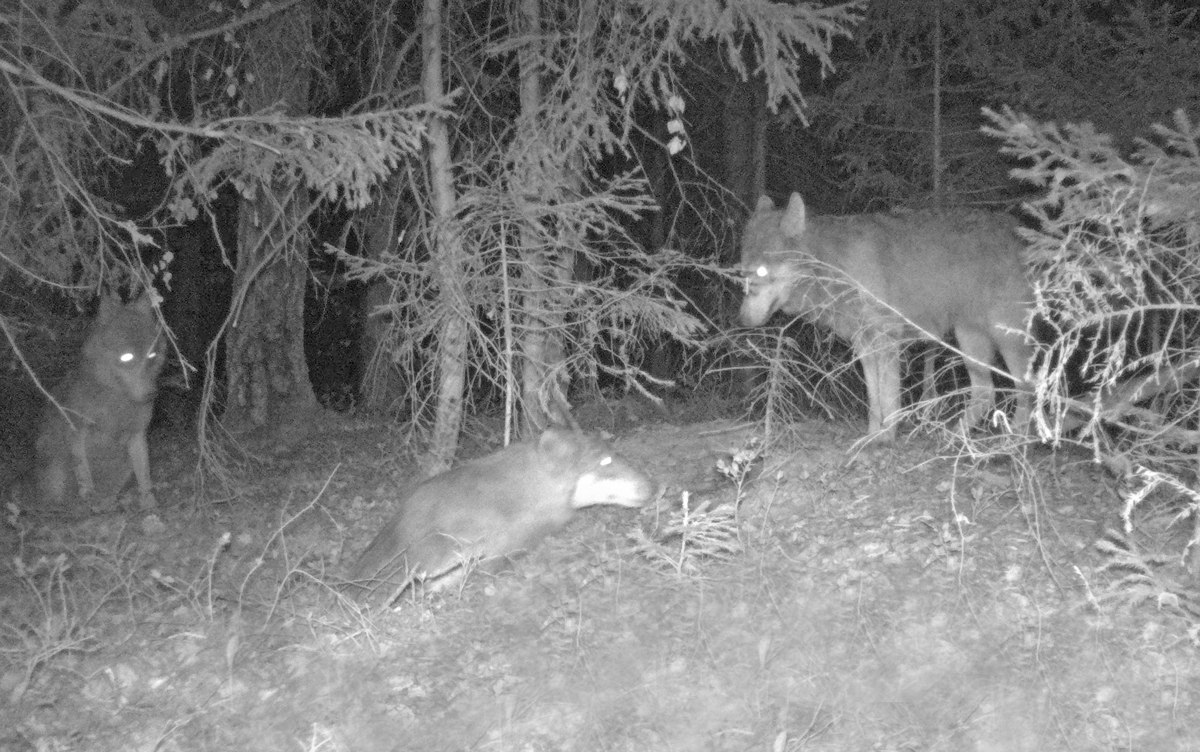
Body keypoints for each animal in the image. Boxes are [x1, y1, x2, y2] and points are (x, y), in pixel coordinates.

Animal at [34, 292, 164, 511]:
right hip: (56, 462)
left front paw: (150, 504)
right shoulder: (77, 432)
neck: (116, 401)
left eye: (152, 355)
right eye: (127, 357)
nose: (151, 394)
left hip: (124, 465)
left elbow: (145, 477)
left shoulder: (137, 435)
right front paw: (89, 497)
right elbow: (84, 473)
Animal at [738, 193, 1033, 441]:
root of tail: (1024, 236)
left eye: (762, 272)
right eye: (742, 273)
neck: (836, 267)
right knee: (986, 393)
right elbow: (874, 398)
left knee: (1028, 388)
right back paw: (954, 440)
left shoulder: (887, 339)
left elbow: (889, 396)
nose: (741, 320)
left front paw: (887, 437)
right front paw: (871, 435)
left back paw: (1014, 443)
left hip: (1006, 339)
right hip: (969, 340)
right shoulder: (864, 344)